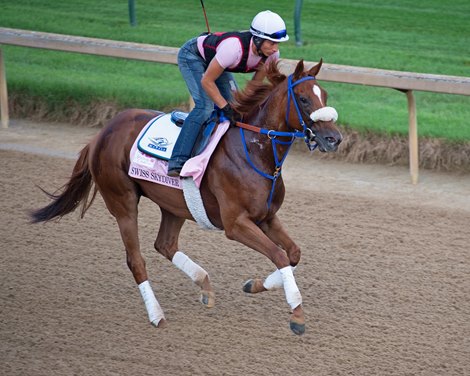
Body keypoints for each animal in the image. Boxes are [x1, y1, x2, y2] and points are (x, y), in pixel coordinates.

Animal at [32, 60, 342, 336]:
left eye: (325, 95)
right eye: (303, 99)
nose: (334, 139)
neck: (254, 151)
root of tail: (101, 133)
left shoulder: (266, 216)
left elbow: (293, 254)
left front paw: (253, 284)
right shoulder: (236, 224)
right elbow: (279, 255)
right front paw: (297, 315)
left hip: (174, 205)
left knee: (165, 244)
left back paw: (203, 284)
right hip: (123, 202)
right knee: (136, 260)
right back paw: (157, 315)